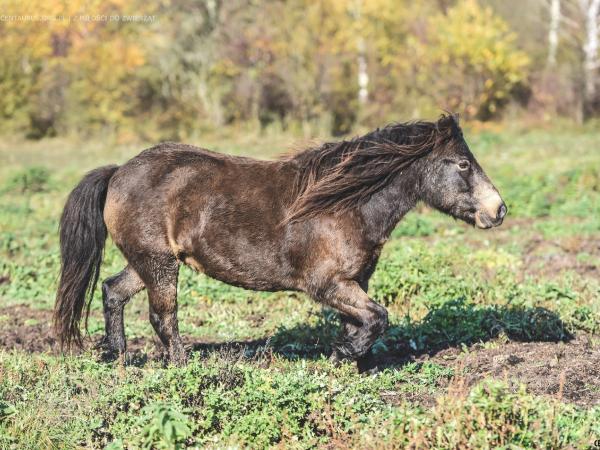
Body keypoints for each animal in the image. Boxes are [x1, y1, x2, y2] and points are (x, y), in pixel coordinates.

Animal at [55, 114, 506, 370]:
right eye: (463, 164)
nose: (499, 209)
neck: (346, 203)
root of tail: (118, 172)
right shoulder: (327, 285)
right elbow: (378, 318)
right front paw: (339, 357)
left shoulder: (354, 283)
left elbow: (362, 323)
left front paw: (346, 363)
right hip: (159, 264)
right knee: (163, 317)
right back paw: (181, 368)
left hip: (148, 262)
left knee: (113, 292)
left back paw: (119, 358)